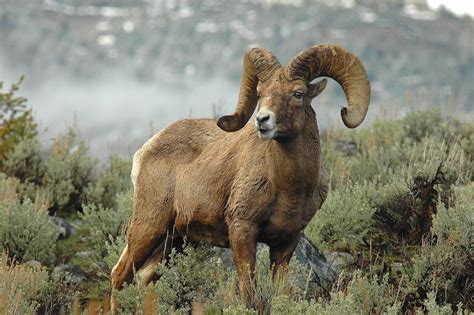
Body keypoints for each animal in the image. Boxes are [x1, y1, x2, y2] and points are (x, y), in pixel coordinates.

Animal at [111, 43, 370, 310]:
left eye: (298, 93)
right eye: (260, 92)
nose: (262, 120)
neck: (288, 187)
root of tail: (146, 149)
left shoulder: (286, 243)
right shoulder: (243, 230)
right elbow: (248, 291)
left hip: (173, 241)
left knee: (142, 279)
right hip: (149, 226)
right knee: (119, 275)